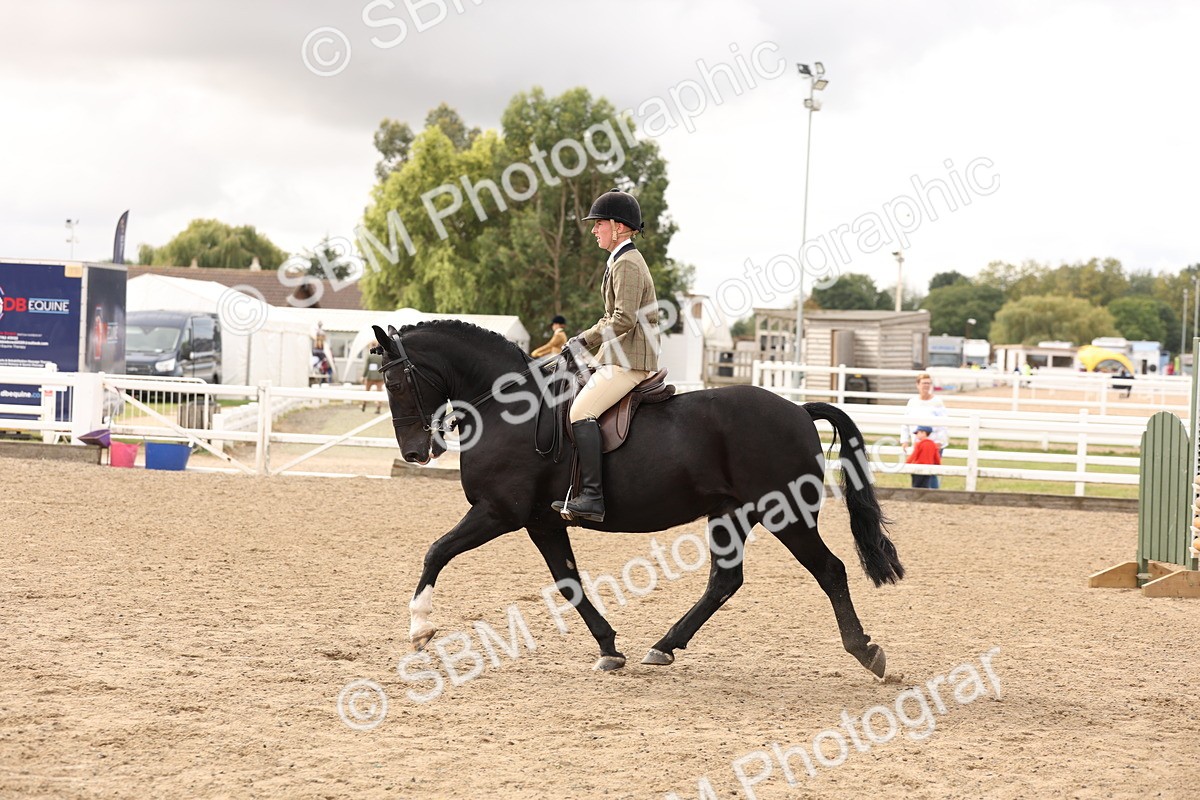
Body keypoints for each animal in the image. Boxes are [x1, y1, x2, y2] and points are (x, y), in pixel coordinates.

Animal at [372, 321, 904, 677]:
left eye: (394, 381)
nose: (415, 452)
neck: (507, 409)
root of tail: (797, 409)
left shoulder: (498, 512)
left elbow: (437, 551)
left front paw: (419, 629)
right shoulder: (542, 521)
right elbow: (569, 582)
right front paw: (609, 648)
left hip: (785, 515)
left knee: (830, 570)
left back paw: (866, 652)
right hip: (730, 515)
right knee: (725, 580)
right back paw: (664, 645)